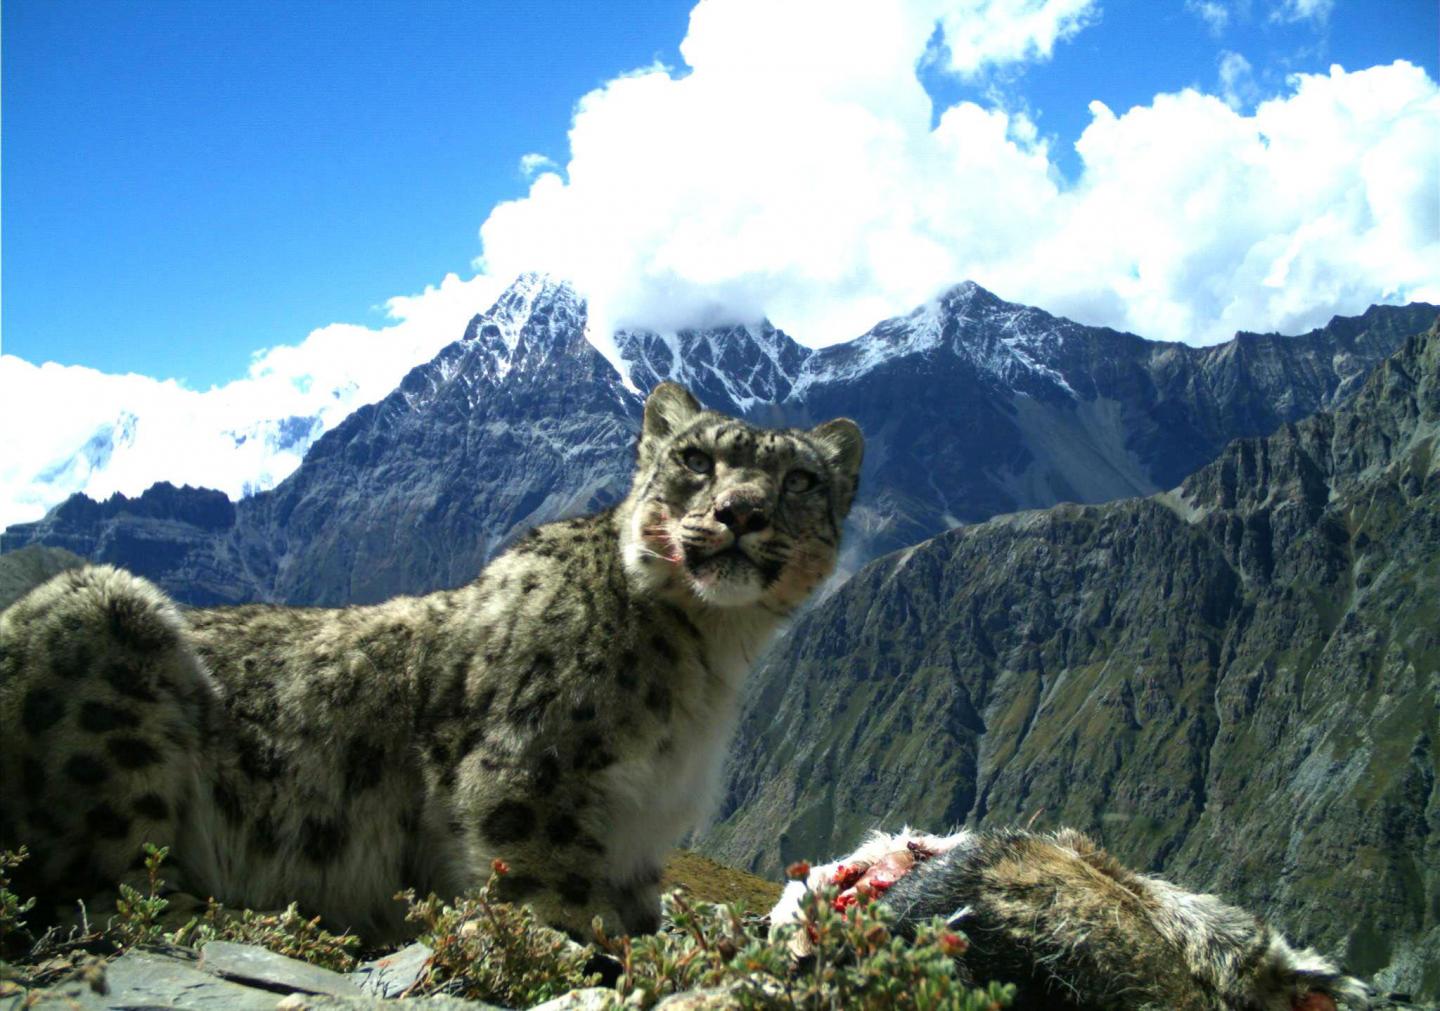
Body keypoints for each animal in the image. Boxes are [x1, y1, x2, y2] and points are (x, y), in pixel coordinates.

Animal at [0, 383, 858, 944]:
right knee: (105, 892)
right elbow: (558, 896)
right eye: (695, 458)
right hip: (110, 648)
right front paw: (596, 948)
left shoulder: (640, 839)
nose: (741, 512)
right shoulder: (528, 781)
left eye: (800, 479)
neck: (706, 659)